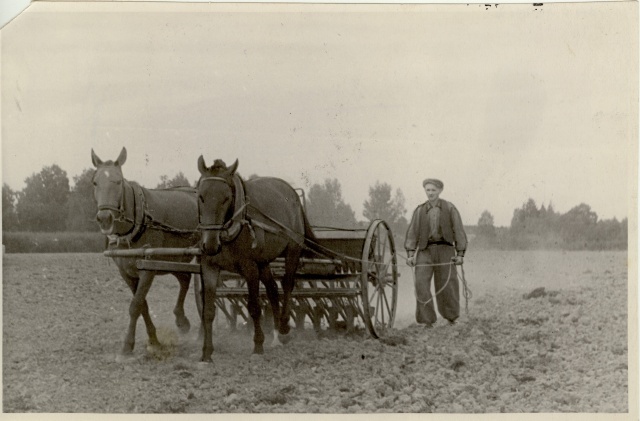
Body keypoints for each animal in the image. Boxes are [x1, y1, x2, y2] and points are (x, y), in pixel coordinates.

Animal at [91, 147, 199, 358]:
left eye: (118, 181)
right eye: (95, 182)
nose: (104, 218)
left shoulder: (148, 270)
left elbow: (135, 306)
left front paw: (127, 345)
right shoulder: (127, 273)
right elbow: (143, 306)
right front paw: (154, 340)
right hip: (172, 257)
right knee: (185, 278)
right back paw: (181, 320)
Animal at [198, 156, 322, 360]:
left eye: (226, 198)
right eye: (201, 196)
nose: (210, 245)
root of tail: (292, 193)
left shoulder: (250, 268)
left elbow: (254, 307)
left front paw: (257, 345)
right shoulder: (209, 267)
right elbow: (208, 311)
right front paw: (206, 353)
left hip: (292, 251)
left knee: (287, 284)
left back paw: (284, 327)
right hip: (263, 262)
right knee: (272, 289)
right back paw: (277, 333)